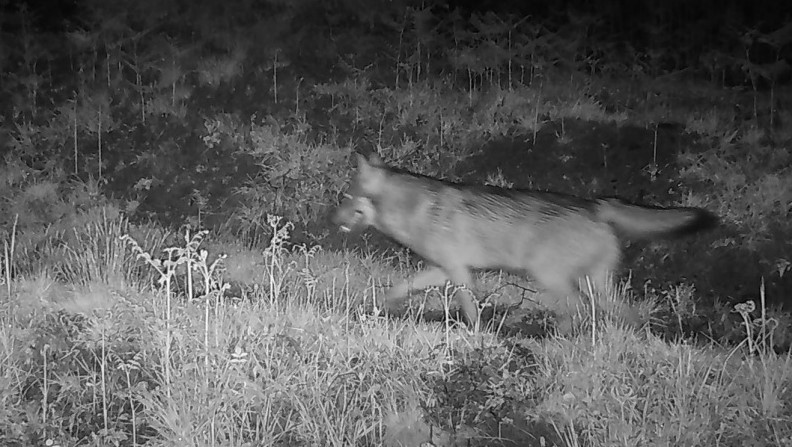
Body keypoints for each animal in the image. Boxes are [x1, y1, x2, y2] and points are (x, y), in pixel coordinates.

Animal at [333, 153, 717, 333]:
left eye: (346, 197)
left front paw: (477, 335)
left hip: (550, 277)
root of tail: (596, 204)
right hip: (596, 285)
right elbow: (400, 287)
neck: (412, 208)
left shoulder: (458, 272)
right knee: (621, 313)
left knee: (579, 311)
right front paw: (375, 307)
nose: (332, 220)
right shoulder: (444, 268)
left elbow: (470, 309)